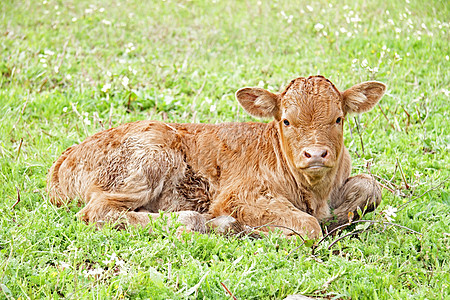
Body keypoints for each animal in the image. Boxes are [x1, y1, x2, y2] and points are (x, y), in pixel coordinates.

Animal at [47, 75, 384, 239]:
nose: (315, 153)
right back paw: (208, 222)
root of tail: (64, 159)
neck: (314, 192)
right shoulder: (238, 197)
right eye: (286, 121)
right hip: (147, 159)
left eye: (338, 118)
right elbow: (309, 227)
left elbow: (369, 186)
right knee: (98, 211)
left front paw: (337, 219)